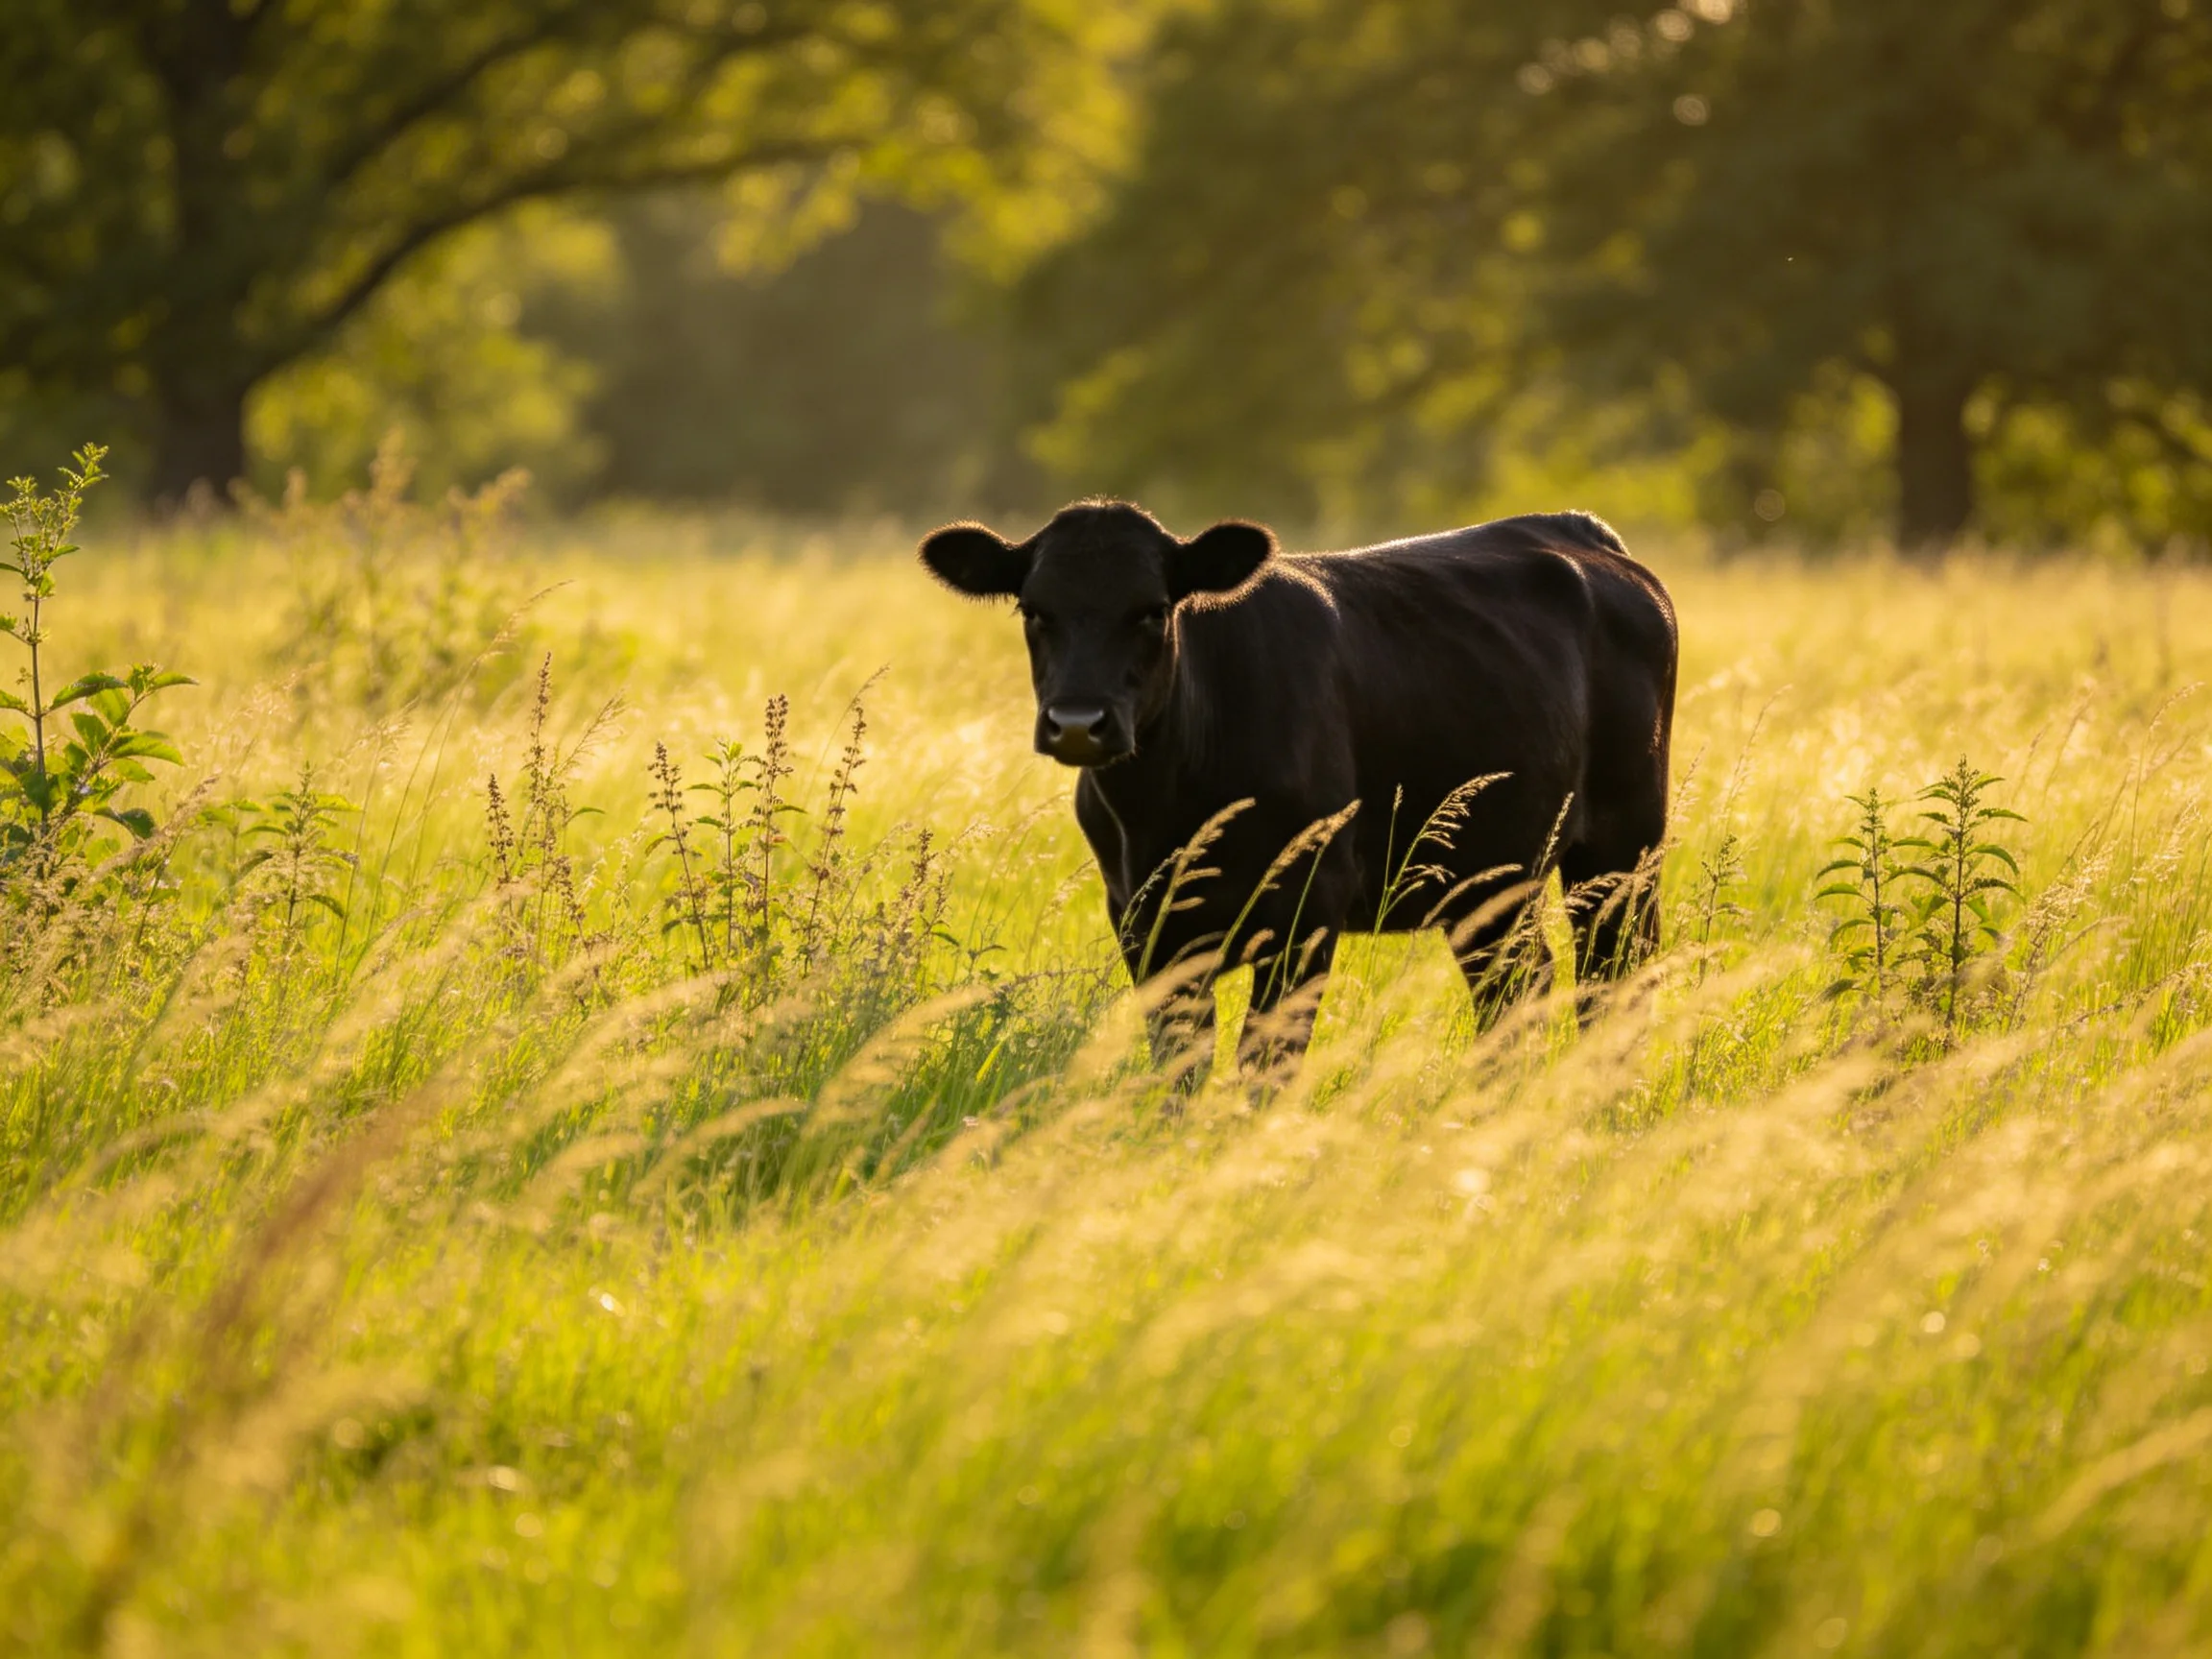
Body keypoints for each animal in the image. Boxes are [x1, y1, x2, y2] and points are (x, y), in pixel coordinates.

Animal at [919, 500, 1678, 1074]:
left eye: (1152, 609)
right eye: (1033, 610)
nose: (1078, 722)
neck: (1166, 814)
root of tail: (1578, 530)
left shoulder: (1309, 910)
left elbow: (1265, 1065)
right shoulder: (1142, 922)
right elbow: (1181, 1067)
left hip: (1623, 848)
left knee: (1614, 979)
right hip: (1492, 876)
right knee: (1518, 986)